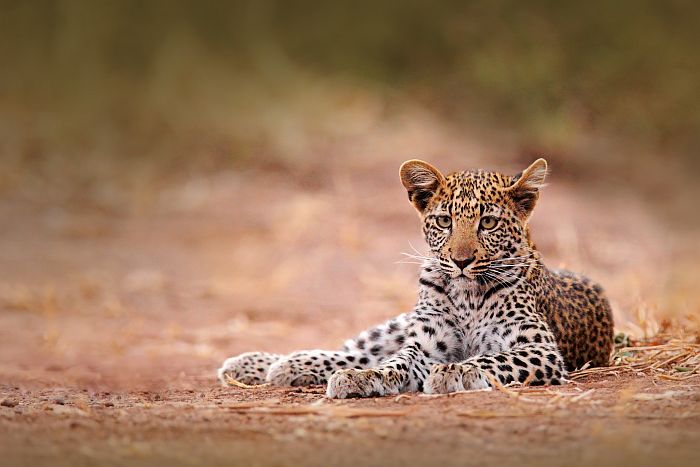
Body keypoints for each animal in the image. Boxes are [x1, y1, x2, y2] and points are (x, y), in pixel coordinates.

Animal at [217, 160, 612, 398]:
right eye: (444, 221)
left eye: (488, 223)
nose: (461, 260)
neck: (467, 296)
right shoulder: (425, 344)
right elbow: (397, 362)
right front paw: (365, 379)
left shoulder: (540, 349)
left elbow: (490, 359)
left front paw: (453, 373)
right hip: (395, 326)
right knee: (356, 351)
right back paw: (264, 364)